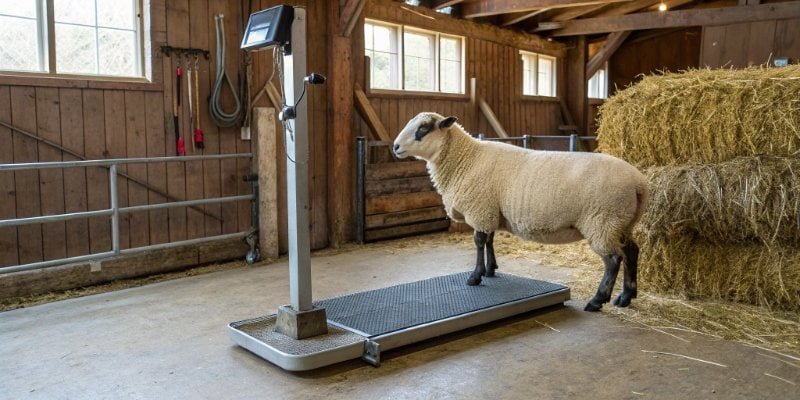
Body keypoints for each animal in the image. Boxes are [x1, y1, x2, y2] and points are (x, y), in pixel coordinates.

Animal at [392, 112, 649, 311]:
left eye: (423, 128)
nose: (395, 147)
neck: (466, 159)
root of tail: (639, 183)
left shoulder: (479, 209)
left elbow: (479, 241)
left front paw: (475, 276)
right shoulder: (490, 209)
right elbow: (490, 240)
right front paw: (491, 270)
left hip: (602, 220)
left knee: (613, 259)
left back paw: (597, 300)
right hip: (621, 222)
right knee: (632, 251)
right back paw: (626, 297)